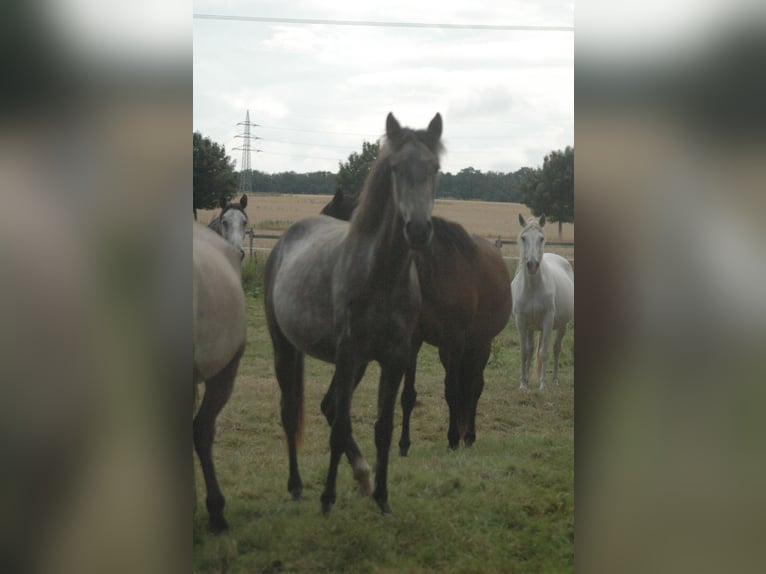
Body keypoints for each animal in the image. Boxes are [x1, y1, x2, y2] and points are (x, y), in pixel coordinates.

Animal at [264, 112, 443, 514]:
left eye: (435, 168)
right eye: (395, 168)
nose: (419, 230)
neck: (382, 275)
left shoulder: (394, 359)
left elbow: (383, 428)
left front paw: (382, 497)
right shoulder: (348, 354)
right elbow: (339, 428)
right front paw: (328, 498)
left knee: (329, 408)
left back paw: (361, 477)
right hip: (285, 348)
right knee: (290, 411)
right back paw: (297, 485)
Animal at [321, 189, 512, 453]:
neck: (432, 273)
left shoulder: (456, 339)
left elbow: (452, 391)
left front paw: (453, 439)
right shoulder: (414, 340)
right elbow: (408, 395)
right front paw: (404, 444)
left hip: (480, 344)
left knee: (474, 387)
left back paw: (469, 436)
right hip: (447, 351)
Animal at [510, 214, 574, 390]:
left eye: (541, 238)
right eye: (523, 238)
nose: (532, 265)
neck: (533, 287)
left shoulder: (547, 321)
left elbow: (544, 353)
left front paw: (542, 385)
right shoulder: (521, 322)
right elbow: (524, 352)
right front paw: (523, 384)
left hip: (562, 325)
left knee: (556, 349)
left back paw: (555, 379)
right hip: (531, 327)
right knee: (531, 349)